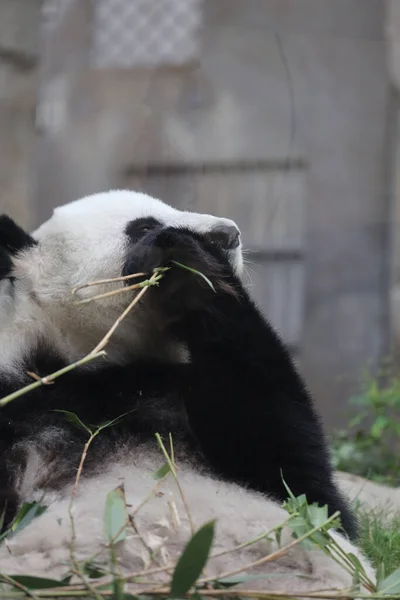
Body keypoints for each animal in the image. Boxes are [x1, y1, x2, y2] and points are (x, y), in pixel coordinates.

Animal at [0, 191, 376, 592]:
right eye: (143, 227)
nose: (229, 234)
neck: (91, 364)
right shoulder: (21, 393)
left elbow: (303, 484)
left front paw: (192, 272)